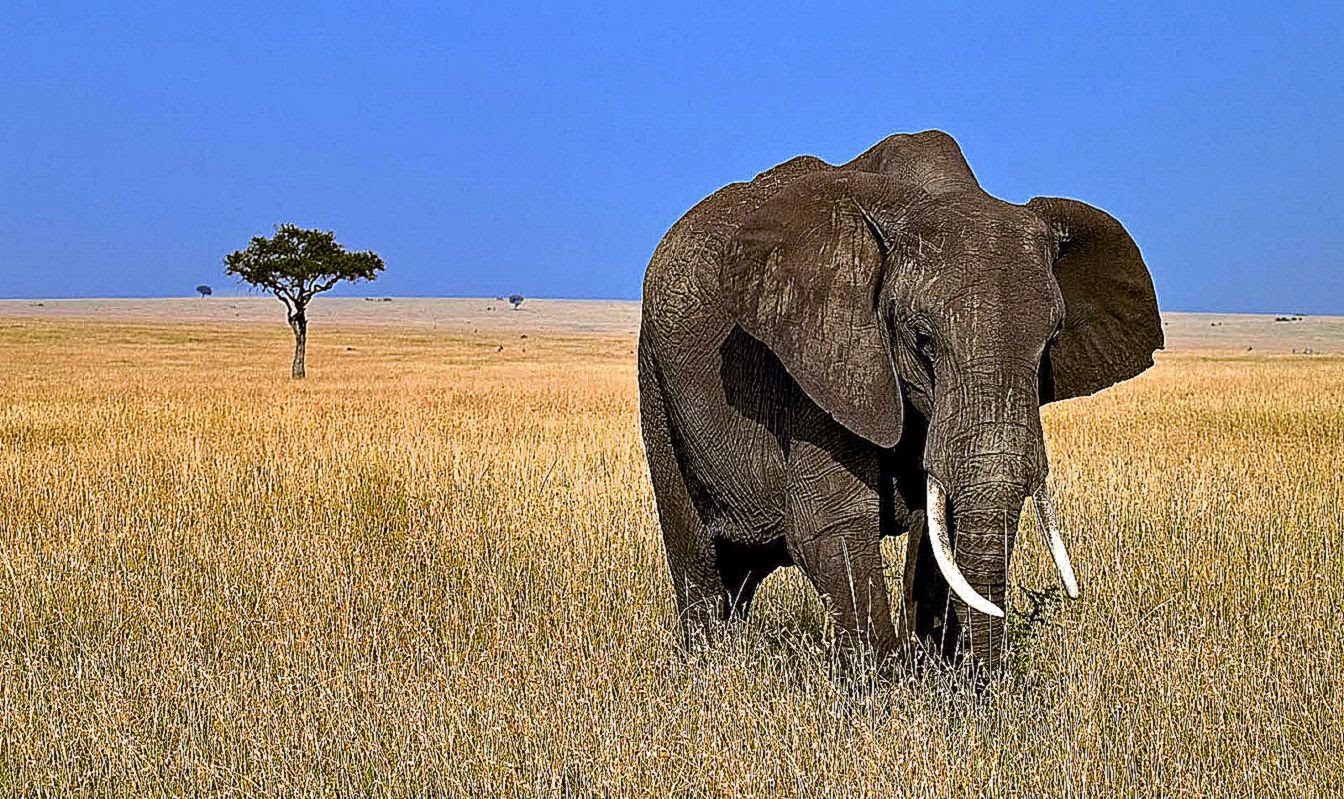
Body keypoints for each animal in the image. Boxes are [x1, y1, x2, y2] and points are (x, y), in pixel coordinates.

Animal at [637, 130, 1161, 675]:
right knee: (696, 551)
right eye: (923, 339)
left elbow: (940, 529)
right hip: (655, 376)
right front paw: (886, 685)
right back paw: (709, 665)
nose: (985, 683)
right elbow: (834, 522)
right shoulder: (823, 354)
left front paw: (937, 672)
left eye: (1050, 342)